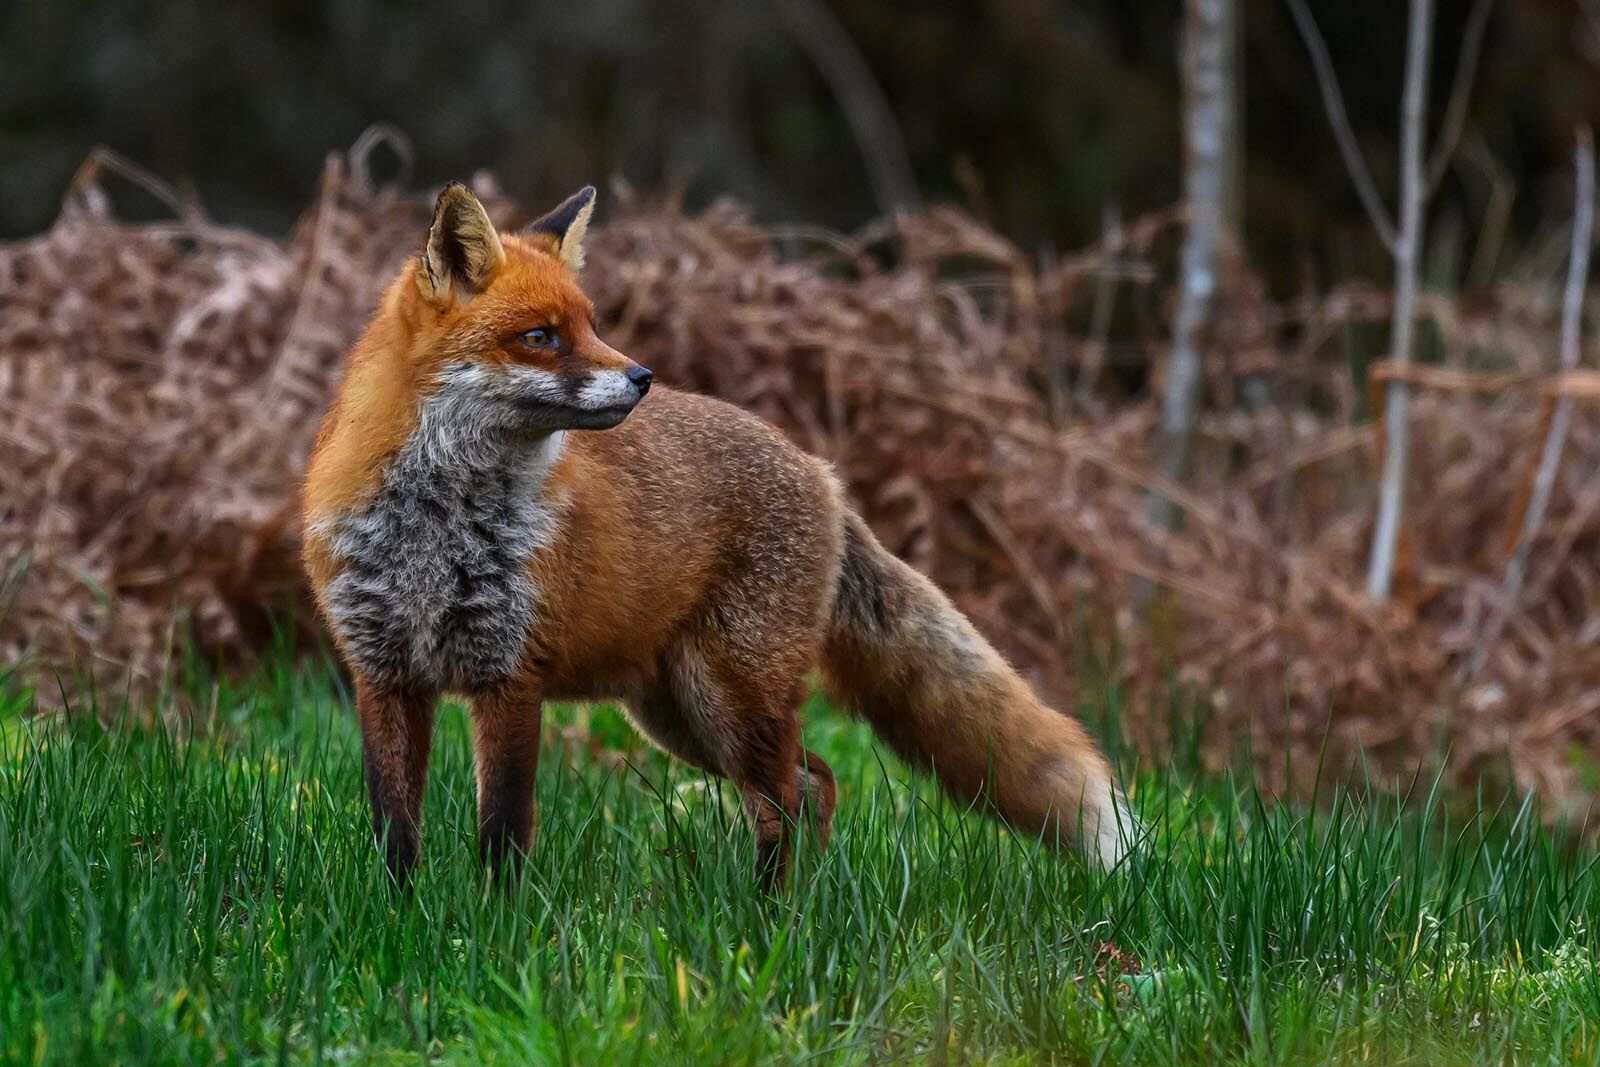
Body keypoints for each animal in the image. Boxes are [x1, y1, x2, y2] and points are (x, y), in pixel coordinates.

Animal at [301, 181, 1134, 889]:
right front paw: (401, 915)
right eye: (540, 335)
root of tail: (821, 471)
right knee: (817, 780)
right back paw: (797, 900)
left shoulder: (510, 674)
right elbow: (395, 828)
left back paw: (773, 914)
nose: (641, 376)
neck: (437, 527)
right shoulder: (382, 672)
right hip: (680, 713)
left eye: (592, 323)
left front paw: (494, 926)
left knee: (788, 797)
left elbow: (503, 829)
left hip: (732, 694)